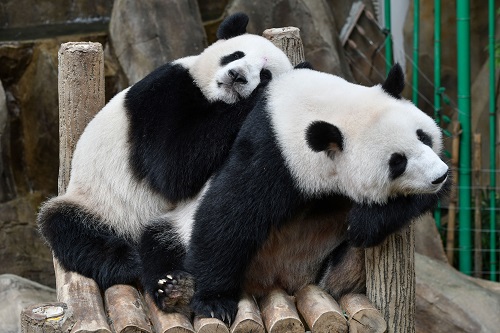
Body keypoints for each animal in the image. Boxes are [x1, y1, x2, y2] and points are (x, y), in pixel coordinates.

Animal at [38, 13, 292, 294]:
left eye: (265, 74)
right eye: (235, 55)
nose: (236, 75)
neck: (216, 99)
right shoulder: (164, 92)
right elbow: (172, 166)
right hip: (98, 203)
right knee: (68, 227)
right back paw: (129, 263)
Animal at [140, 63, 450, 322]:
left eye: (423, 136)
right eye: (397, 162)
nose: (439, 175)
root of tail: (277, 283)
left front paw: (366, 222)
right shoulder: (274, 153)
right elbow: (228, 215)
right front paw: (213, 301)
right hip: (178, 227)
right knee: (158, 243)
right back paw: (175, 290)